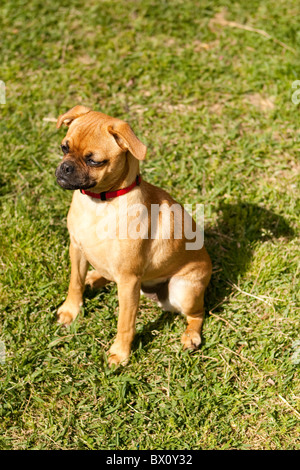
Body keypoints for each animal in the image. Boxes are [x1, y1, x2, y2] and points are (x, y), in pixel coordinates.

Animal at [55, 106, 211, 368]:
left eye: (94, 161)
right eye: (64, 148)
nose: (65, 168)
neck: (100, 203)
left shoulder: (128, 280)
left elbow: (125, 323)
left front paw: (120, 353)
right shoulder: (76, 249)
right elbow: (74, 283)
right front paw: (70, 310)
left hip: (183, 291)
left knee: (197, 314)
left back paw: (191, 336)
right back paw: (94, 278)